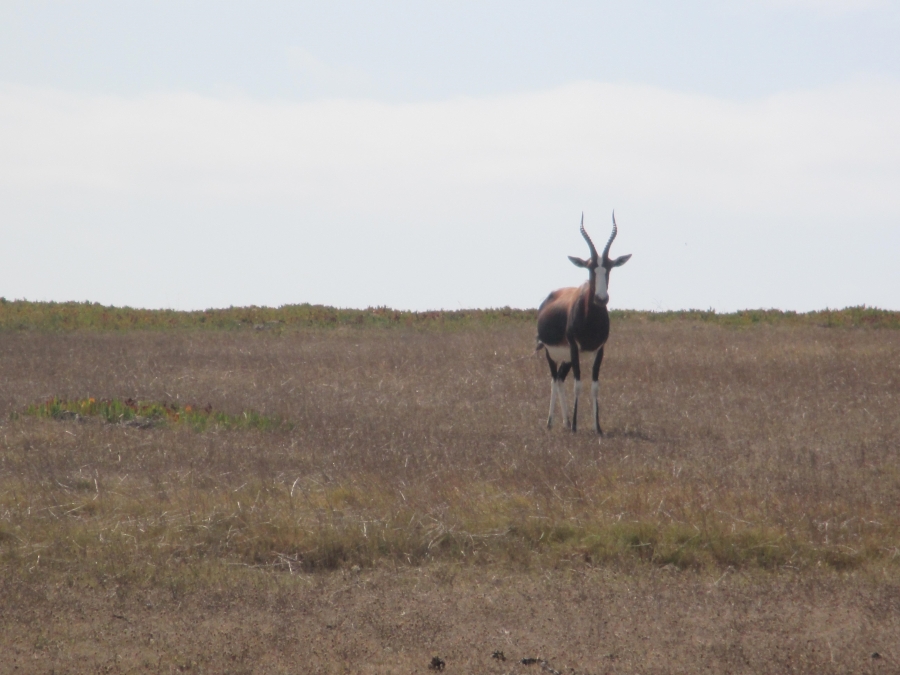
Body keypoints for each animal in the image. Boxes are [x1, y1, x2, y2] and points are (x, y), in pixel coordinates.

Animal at [536, 213, 632, 434]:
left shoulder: (600, 350)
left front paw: (598, 427)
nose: (601, 298)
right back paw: (551, 422)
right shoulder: (574, 347)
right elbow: (578, 384)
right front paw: (575, 427)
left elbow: (595, 385)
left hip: (567, 358)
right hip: (551, 353)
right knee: (554, 379)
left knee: (560, 379)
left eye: (609, 267)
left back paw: (565, 422)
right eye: (590, 267)